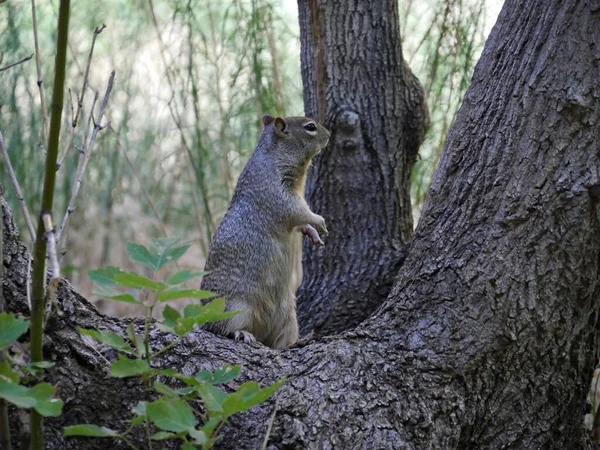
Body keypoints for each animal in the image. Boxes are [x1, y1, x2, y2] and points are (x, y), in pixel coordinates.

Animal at [200, 114, 330, 350]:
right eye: (310, 127)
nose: (330, 134)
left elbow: (299, 223)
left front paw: (312, 234)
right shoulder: (277, 194)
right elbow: (299, 211)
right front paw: (319, 221)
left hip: (289, 317)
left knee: (280, 342)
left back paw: (297, 342)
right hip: (236, 308)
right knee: (224, 328)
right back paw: (242, 333)